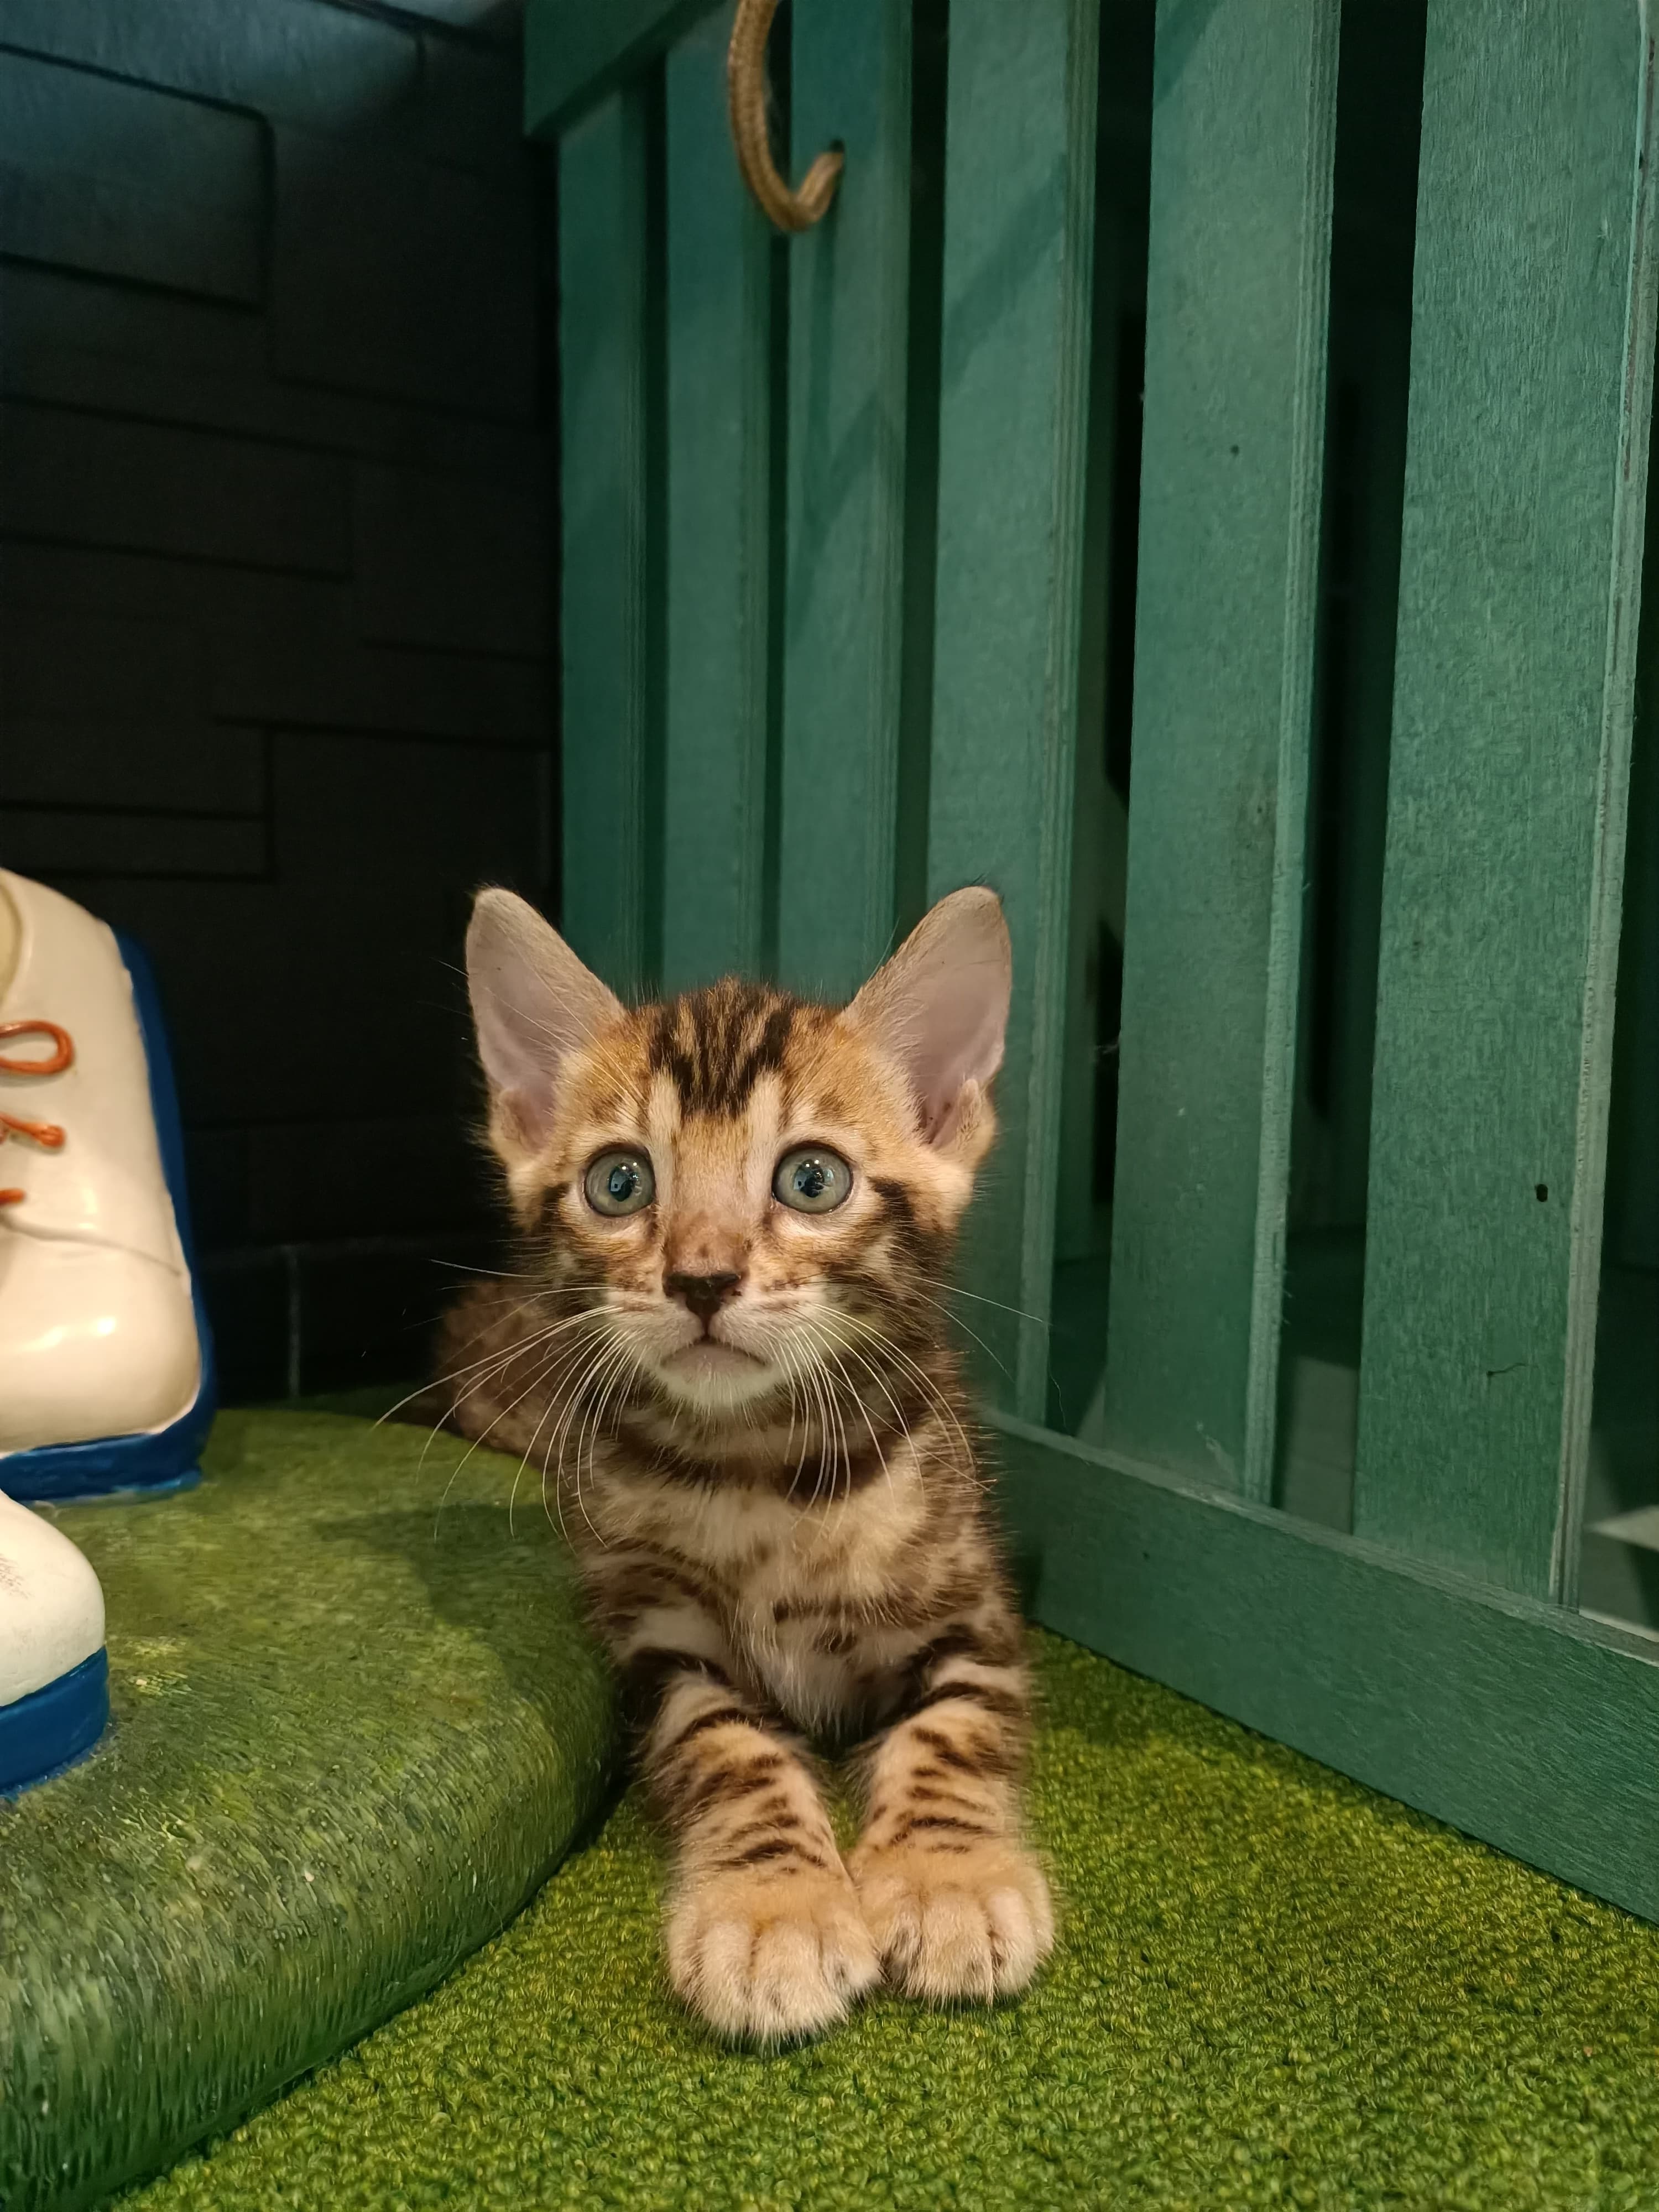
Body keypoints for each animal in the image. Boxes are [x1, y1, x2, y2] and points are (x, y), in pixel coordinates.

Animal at [430, 883, 1053, 2043]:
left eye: (812, 1179)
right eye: (619, 1182)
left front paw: (948, 1879)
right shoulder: (659, 1639)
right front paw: (776, 1911)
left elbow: (950, 1730)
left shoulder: (977, 1610)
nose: (702, 1277)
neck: (762, 1464)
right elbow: (730, 1748)